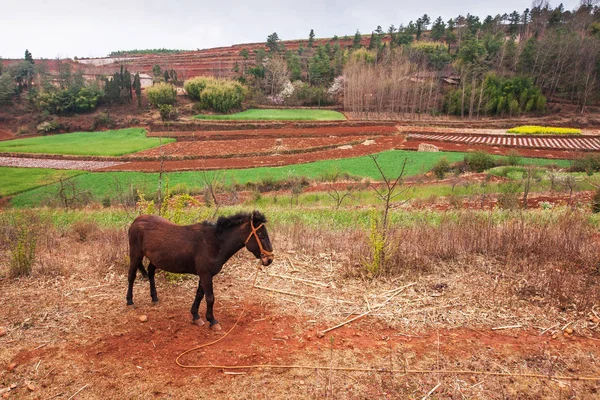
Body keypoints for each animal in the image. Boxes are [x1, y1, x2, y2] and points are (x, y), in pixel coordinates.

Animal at [129, 211, 276, 330]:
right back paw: (129, 301)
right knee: (131, 276)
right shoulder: (206, 275)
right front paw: (213, 321)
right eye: (261, 235)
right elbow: (210, 298)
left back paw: (154, 297)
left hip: (155, 259)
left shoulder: (204, 275)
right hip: (135, 255)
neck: (215, 243)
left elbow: (199, 295)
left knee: (150, 272)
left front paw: (196, 316)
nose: (269, 259)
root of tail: (137, 220)